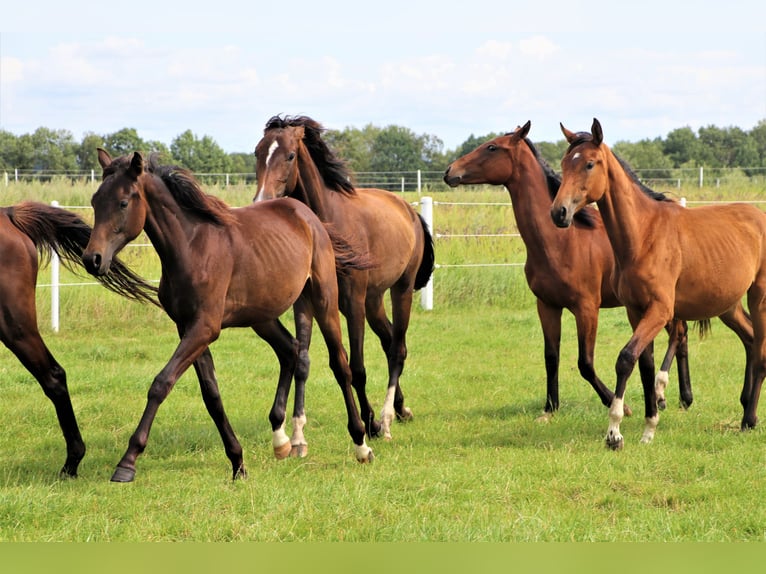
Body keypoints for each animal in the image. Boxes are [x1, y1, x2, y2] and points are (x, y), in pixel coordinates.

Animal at [81, 150, 376, 486]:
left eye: (122, 202)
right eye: (94, 200)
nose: (92, 259)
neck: (192, 247)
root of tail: (307, 215)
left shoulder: (205, 328)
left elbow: (161, 383)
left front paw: (127, 462)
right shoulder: (188, 328)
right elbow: (211, 395)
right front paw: (238, 462)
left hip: (323, 299)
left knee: (340, 365)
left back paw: (361, 444)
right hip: (263, 315)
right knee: (290, 350)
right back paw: (281, 440)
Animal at [252, 115, 432, 444]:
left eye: (290, 156)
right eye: (258, 153)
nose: (261, 200)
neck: (329, 225)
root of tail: (410, 212)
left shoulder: (352, 302)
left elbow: (356, 367)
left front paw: (370, 424)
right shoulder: (307, 303)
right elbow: (303, 360)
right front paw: (298, 433)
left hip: (400, 291)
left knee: (397, 349)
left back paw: (387, 419)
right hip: (374, 301)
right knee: (389, 340)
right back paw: (401, 409)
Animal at [440, 121, 700, 418]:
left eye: (492, 147)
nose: (450, 171)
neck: (561, 242)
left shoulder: (586, 308)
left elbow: (585, 363)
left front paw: (619, 404)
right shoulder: (547, 306)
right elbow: (551, 357)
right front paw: (550, 407)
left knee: (679, 335)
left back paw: (667, 395)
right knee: (680, 336)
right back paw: (679, 397)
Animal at [552, 118, 760, 450]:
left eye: (589, 164)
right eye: (563, 163)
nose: (559, 213)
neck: (643, 235)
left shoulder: (660, 311)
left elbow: (626, 358)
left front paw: (615, 432)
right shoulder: (636, 311)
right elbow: (645, 365)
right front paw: (649, 428)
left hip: (758, 295)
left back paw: (750, 417)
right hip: (728, 305)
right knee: (752, 339)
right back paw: (745, 414)